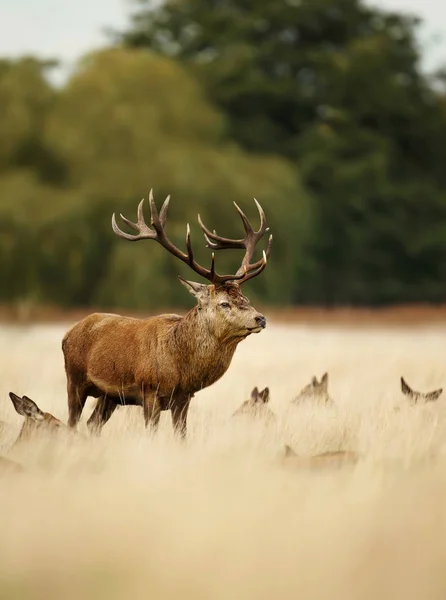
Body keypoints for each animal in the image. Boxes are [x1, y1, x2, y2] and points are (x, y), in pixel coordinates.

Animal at [62, 190, 272, 438]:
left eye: (245, 299)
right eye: (224, 304)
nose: (261, 318)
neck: (180, 367)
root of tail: (68, 333)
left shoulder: (184, 398)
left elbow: (182, 436)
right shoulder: (149, 391)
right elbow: (151, 432)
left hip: (109, 395)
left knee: (92, 423)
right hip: (74, 379)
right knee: (72, 422)